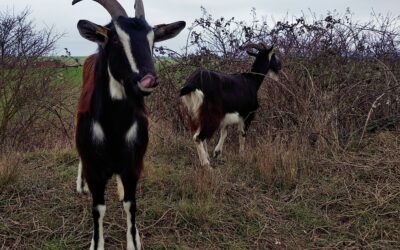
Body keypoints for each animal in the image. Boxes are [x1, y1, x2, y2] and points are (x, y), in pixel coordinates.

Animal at [72, 0, 184, 249]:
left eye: (153, 40)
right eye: (114, 38)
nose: (148, 80)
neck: (115, 127)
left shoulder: (133, 163)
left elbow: (130, 205)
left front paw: (134, 241)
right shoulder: (95, 166)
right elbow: (98, 208)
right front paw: (96, 243)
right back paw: (80, 185)